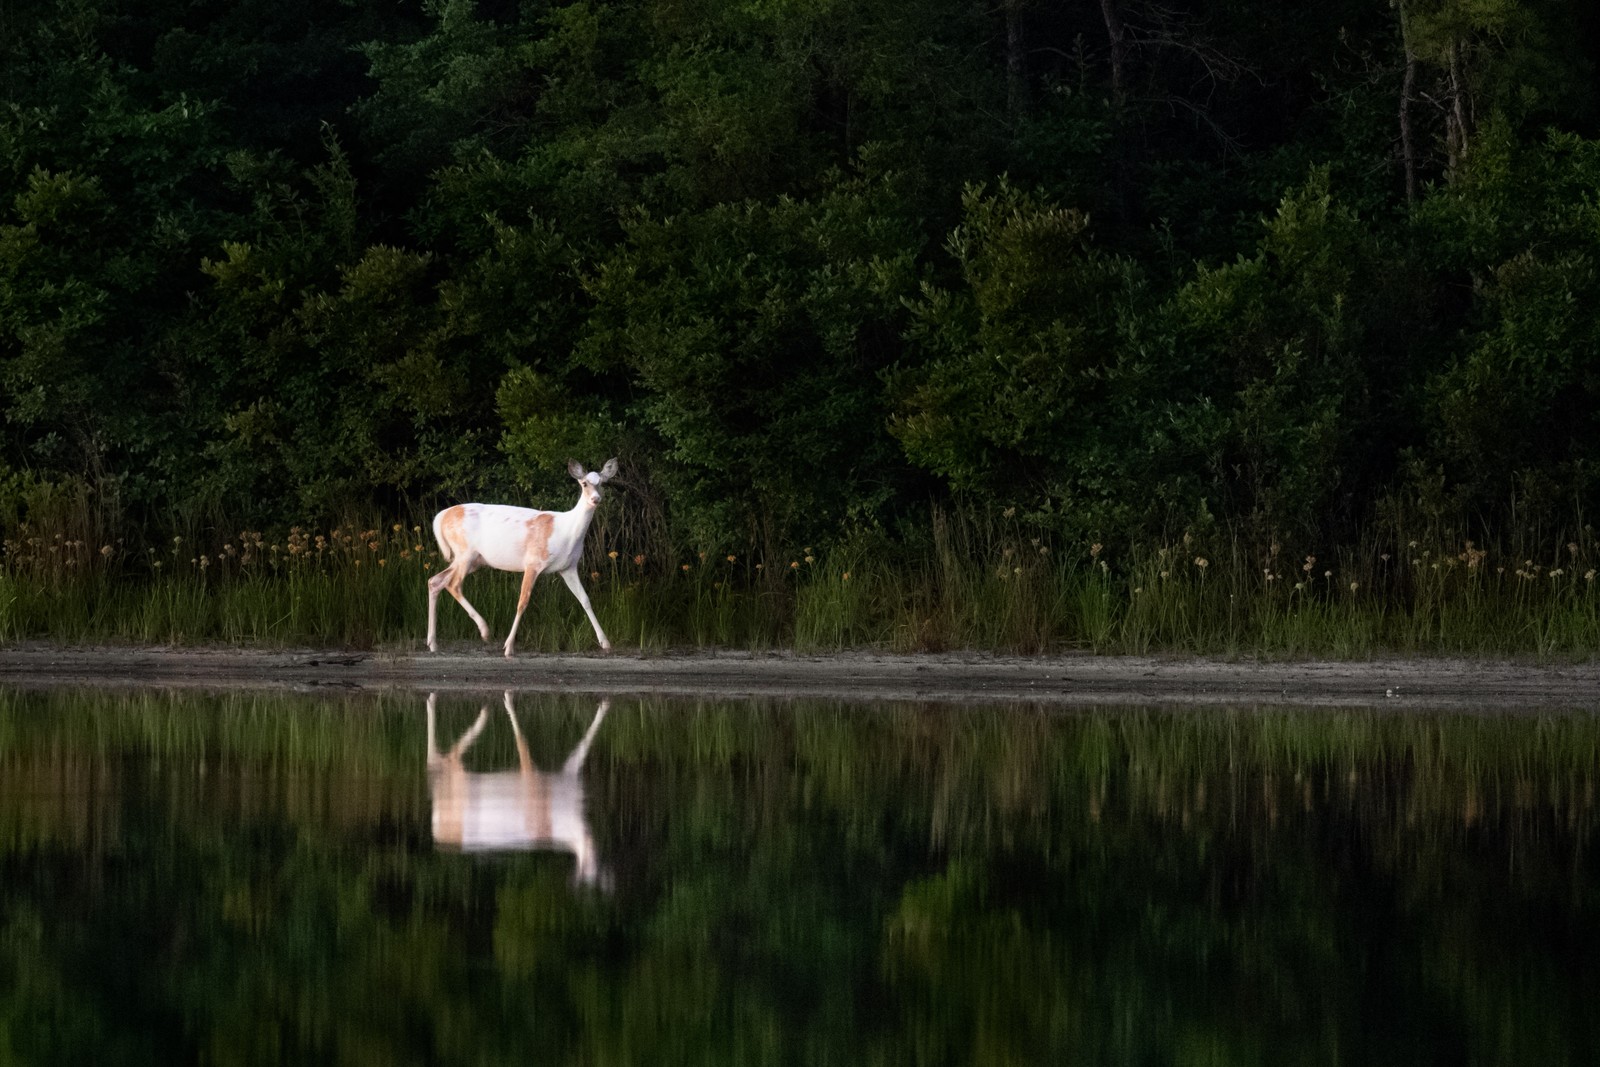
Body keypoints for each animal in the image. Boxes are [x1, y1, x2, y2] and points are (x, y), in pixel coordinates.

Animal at [425, 460, 617, 659]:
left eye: (603, 482)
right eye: (584, 483)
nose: (596, 499)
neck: (566, 532)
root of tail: (440, 517)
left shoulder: (568, 567)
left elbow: (585, 599)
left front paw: (606, 643)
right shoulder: (533, 562)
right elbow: (522, 601)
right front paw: (508, 647)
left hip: (471, 560)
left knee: (435, 581)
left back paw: (433, 643)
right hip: (465, 553)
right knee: (453, 584)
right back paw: (484, 631)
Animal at [425, 694, 611, 883]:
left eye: (596, 870)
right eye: (587, 869)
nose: (593, 850)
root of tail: (437, 828)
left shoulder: (566, 772)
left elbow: (580, 750)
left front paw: (604, 704)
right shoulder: (530, 775)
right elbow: (522, 740)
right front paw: (508, 698)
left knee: (443, 758)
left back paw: (480, 714)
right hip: (457, 782)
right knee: (441, 758)